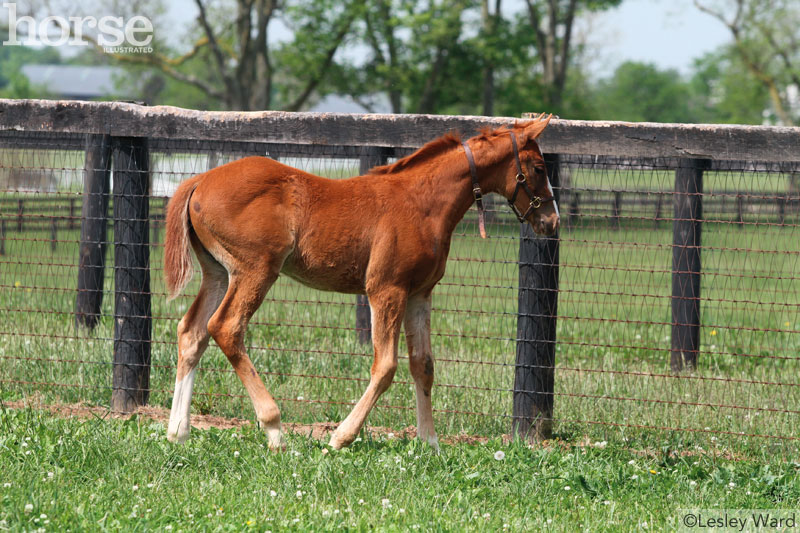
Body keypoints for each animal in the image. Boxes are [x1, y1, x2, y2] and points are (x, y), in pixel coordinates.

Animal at [164, 115, 556, 448]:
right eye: (538, 168)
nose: (551, 221)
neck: (422, 203)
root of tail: (199, 180)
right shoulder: (386, 289)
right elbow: (385, 366)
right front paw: (341, 437)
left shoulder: (420, 293)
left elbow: (423, 365)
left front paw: (430, 443)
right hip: (255, 270)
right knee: (226, 327)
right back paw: (274, 428)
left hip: (218, 273)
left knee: (192, 331)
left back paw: (177, 431)